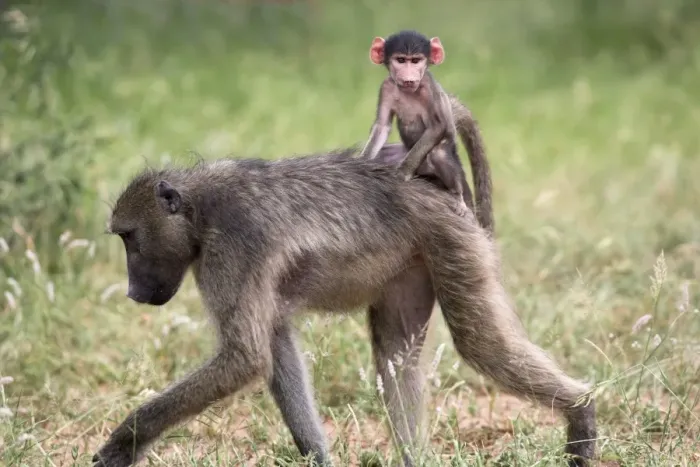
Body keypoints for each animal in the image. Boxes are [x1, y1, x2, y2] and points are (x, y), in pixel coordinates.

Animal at [92, 148, 596, 467]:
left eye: (129, 237)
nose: (133, 291)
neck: (201, 207)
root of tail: (430, 190)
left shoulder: (232, 248)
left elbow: (244, 357)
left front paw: (124, 444)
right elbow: (275, 347)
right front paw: (317, 456)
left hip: (454, 244)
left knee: (480, 344)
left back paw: (581, 411)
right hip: (412, 266)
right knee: (396, 357)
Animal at [360, 30, 494, 236]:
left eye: (416, 61)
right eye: (401, 60)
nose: (409, 77)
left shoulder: (428, 87)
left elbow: (438, 126)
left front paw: (401, 175)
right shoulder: (386, 87)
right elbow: (382, 126)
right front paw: (361, 163)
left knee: (438, 153)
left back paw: (457, 196)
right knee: (385, 152)